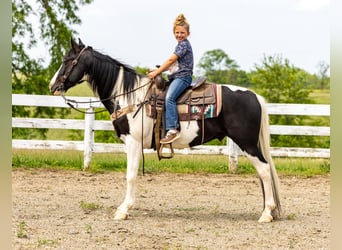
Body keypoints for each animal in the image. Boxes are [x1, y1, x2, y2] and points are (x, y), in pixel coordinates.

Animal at [49, 37, 282, 223]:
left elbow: (130, 176)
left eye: (68, 60)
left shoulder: (133, 142)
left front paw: (123, 210)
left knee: (264, 170)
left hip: (247, 143)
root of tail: (254, 96)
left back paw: (266, 213)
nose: (53, 86)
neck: (130, 96)